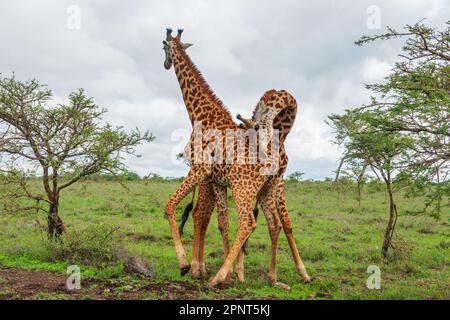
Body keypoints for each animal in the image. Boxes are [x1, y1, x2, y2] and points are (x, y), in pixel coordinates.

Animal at [162, 28, 310, 288]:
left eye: (163, 48)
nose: (166, 64)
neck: (201, 115)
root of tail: (278, 145)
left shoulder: (201, 170)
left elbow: (175, 207)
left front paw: (189, 266)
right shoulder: (217, 180)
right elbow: (220, 221)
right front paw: (227, 272)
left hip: (247, 186)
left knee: (252, 222)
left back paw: (220, 276)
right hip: (269, 187)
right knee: (276, 223)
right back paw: (274, 277)